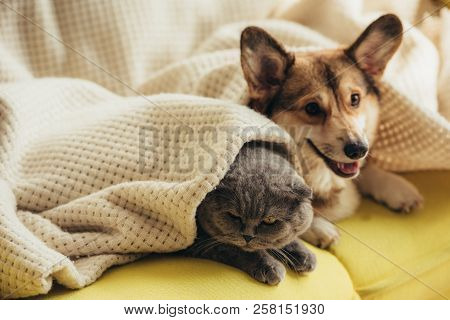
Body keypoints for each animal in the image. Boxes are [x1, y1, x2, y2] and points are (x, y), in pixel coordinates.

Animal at [185, 142, 314, 284]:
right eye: (233, 216)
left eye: (269, 220)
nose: (248, 236)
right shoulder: (200, 241)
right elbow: (237, 250)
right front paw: (270, 266)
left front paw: (304, 254)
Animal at [241, 13, 424, 249]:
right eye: (312, 108)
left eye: (355, 99)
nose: (358, 149)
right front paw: (319, 227)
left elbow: (366, 170)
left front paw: (397, 188)